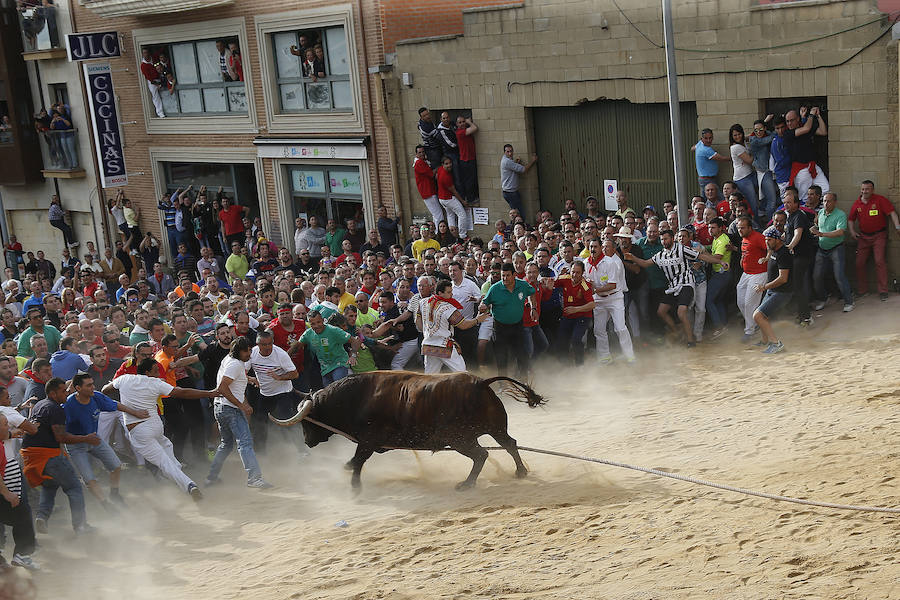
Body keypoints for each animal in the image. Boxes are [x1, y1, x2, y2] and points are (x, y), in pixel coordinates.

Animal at [270, 370, 544, 492]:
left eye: (307, 422)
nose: (307, 442)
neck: (357, 397)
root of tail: (479, 383)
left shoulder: (368, 441)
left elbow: (358, 461)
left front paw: (354, 486)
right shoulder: (368, 443)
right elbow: (356, 461)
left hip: (461, 439)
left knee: (482, 455)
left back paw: (466, 484)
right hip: (494, 428)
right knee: (509, 444)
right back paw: (520, 472)